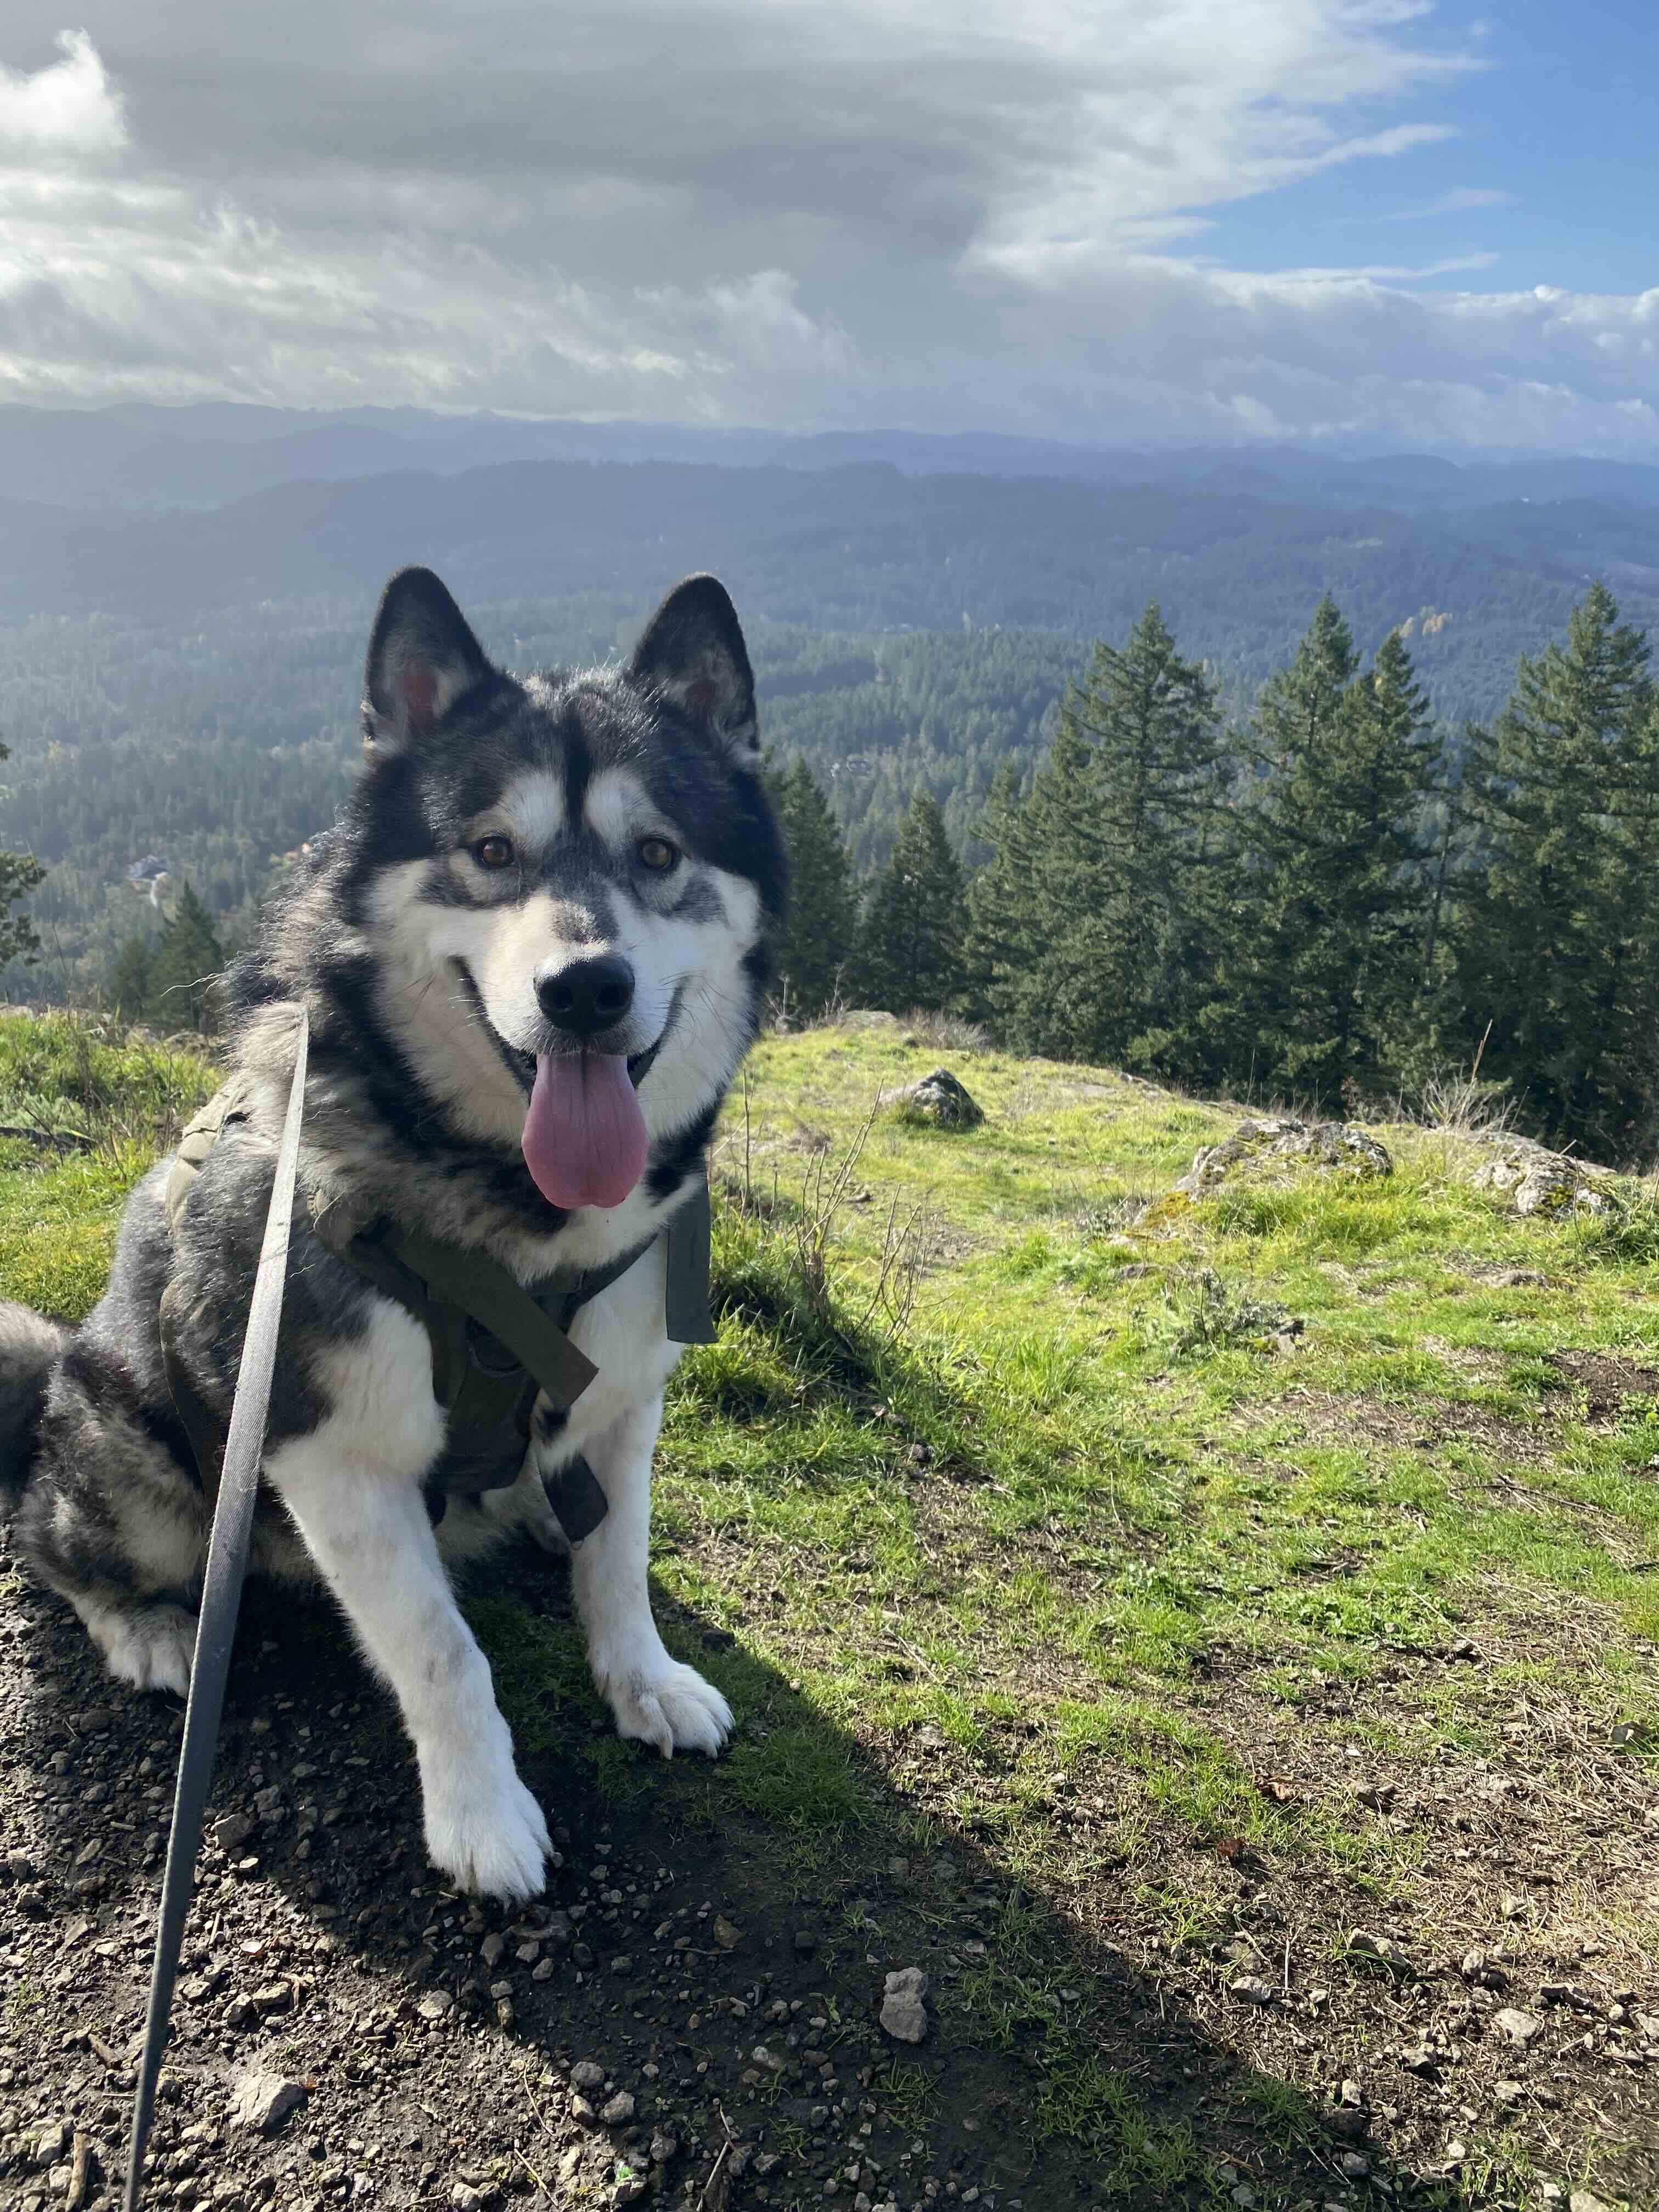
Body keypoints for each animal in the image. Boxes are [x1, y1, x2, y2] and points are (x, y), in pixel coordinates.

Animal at [0, 566, 792, 1902]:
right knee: (52, 1543)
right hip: (137, 1463)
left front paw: (643, 1679)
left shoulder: (627, 1396)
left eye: (657, 854)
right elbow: (437, 1647)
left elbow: (620, 1562)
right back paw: (148, 1628)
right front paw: (482, 1815)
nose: (587, 989)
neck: (523, 1225)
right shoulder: (327, 1446)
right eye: (490, 852)